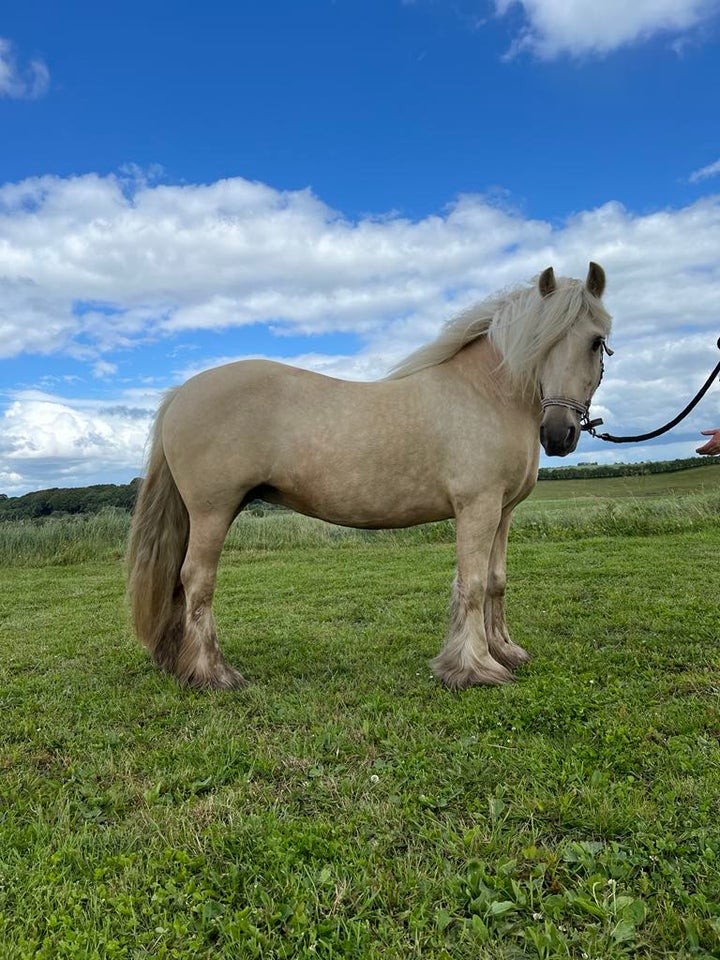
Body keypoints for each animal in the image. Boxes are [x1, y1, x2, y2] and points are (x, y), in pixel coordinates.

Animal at [128, 262, 612, 688]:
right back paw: (213, 673)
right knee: (197, 580)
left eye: (595, 342)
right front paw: (474, 668)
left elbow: (495, 582)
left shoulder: (503, 511)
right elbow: (471, 584)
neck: (486, 394)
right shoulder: (477, 507)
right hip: (213, 511)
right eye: (541, 341)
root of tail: (183, 392)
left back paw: (180, 664)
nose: (559, 434)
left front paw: (504, 652)